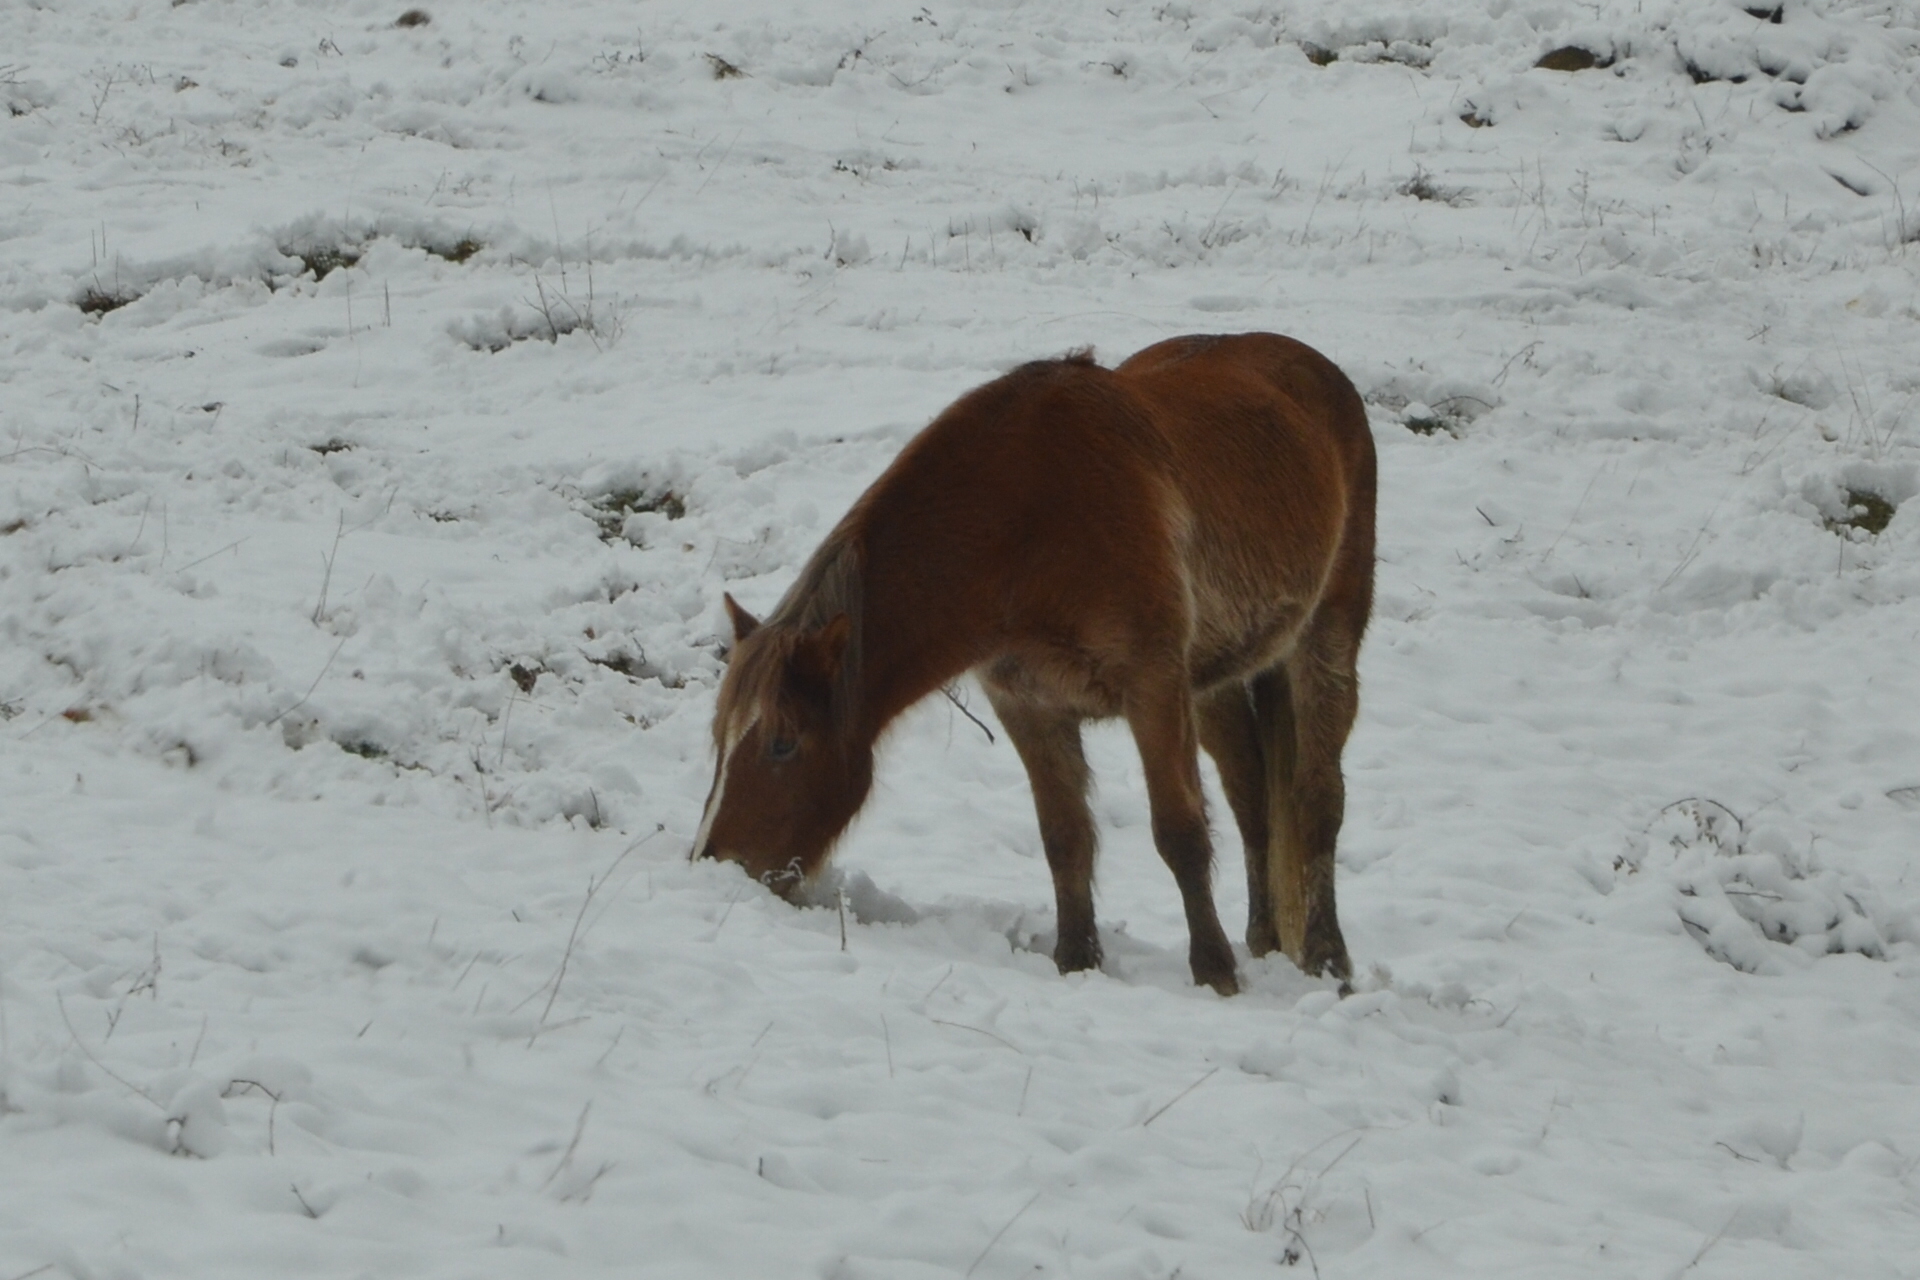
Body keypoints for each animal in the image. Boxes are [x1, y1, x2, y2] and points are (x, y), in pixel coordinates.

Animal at [693, 332, 1375, 995]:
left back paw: (1328, 959)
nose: (711, 863)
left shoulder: (1153, 686)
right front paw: (1076, 963)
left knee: (1317, 801)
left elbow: (1179, 830)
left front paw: (1214, 975)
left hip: (1325, 641)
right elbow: (1065, 837)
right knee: (1251, 801)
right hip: (1216, 683)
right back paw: (1264, 940)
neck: (1025, 520)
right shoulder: (1028, 703)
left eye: (782, 744)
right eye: (719, 741)